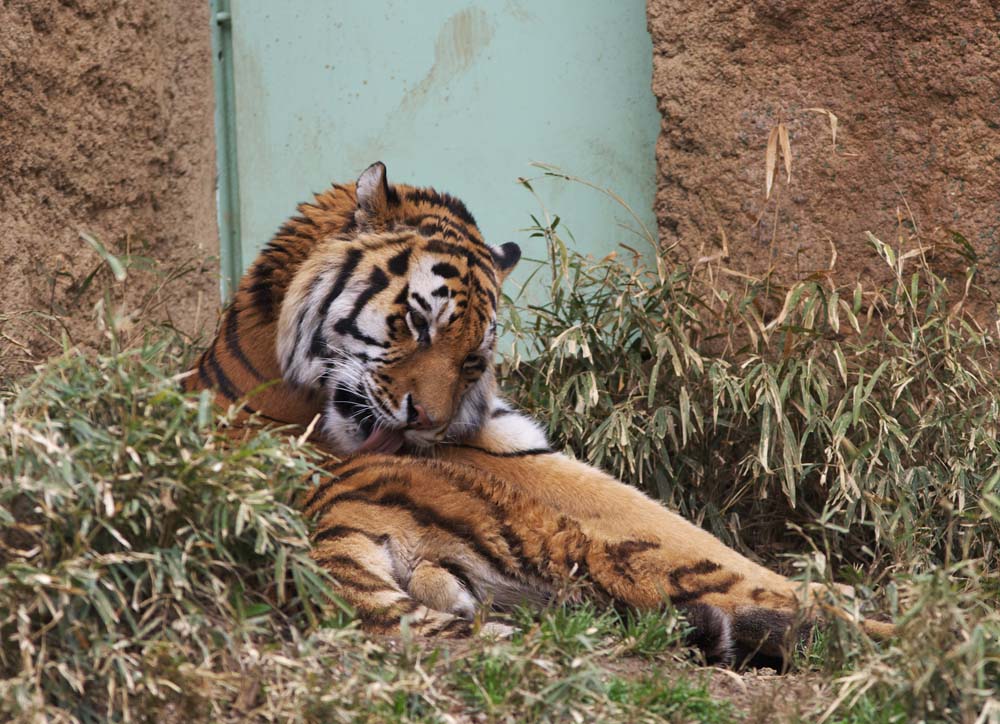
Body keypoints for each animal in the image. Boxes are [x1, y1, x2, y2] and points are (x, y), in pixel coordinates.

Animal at [186, 161, 892, 664]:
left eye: (474, 359)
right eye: (418, 322)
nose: (427, 424)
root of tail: (322, 530)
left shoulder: (517, 447)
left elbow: (695, 533)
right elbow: (697, 544)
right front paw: (830, 590)